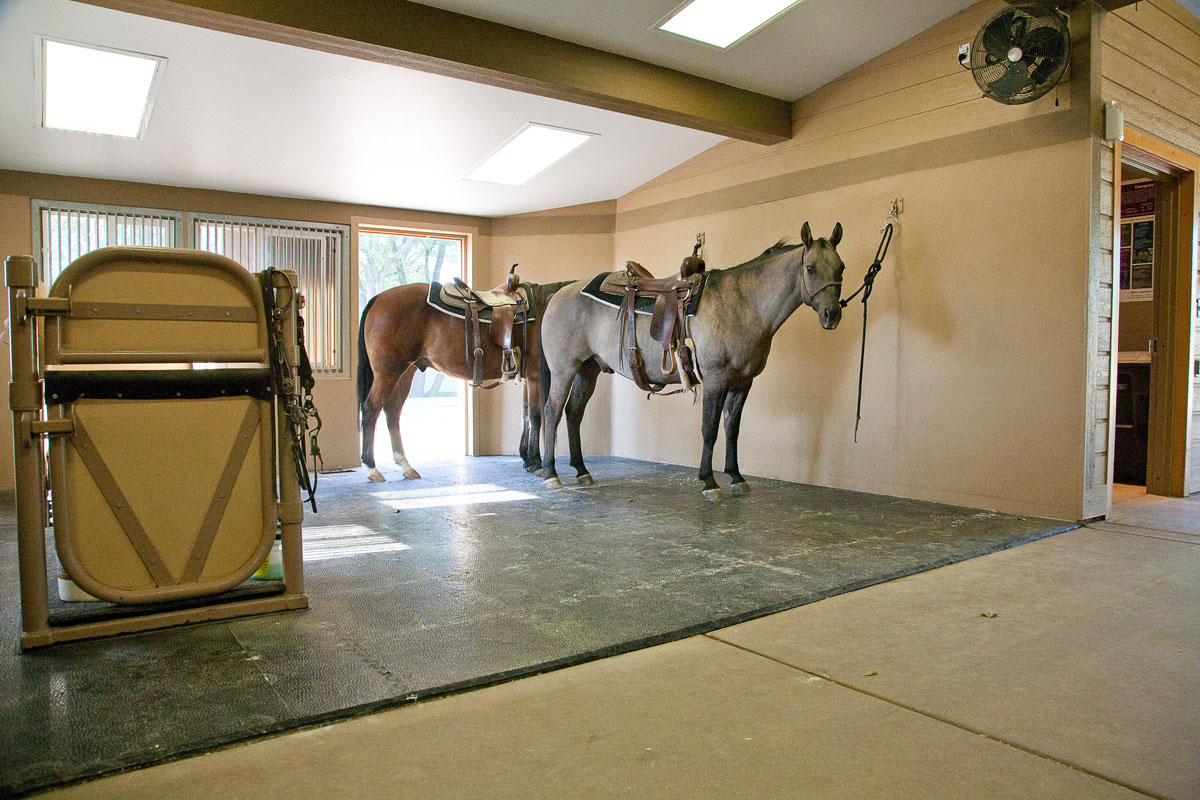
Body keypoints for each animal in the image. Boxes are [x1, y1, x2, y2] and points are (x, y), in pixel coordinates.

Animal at [357, 279, 573, 482]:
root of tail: (379, 298)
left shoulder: (528, 377)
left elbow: (526, 415)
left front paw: (528, 460)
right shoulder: (536, 376)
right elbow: (536, 417)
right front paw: (537, 463)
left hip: (404, 374)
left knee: (392, 412)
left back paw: (405, 465)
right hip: (387, 373)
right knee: (371, 409)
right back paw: (372, 468)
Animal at [539, 222, 846, 501]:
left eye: (841, 267)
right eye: (810, 268)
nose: (832, 314)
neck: (743, 304)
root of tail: (558, 294)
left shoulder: (743, 383)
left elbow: (732, 428)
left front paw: (736, 477)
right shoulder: (716, 380)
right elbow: (709, 429)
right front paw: (709, 481)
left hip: (587, 370)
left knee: (574, 413)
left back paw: (581, 470)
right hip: (564, 370)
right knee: (552, 412)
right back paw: (551, 473)